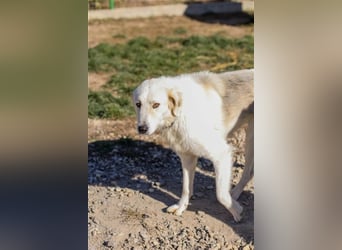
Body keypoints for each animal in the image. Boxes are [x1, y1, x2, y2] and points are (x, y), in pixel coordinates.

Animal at [132, 69, 252, 221]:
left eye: (156, 105)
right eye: (138, 104)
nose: (142, 129)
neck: (181, 113)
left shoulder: (221, 154)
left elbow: (221, 195)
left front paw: (236, 211)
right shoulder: (187, 157)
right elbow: (186, 188)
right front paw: (181, 207)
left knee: (248, 172)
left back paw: (234, 194)